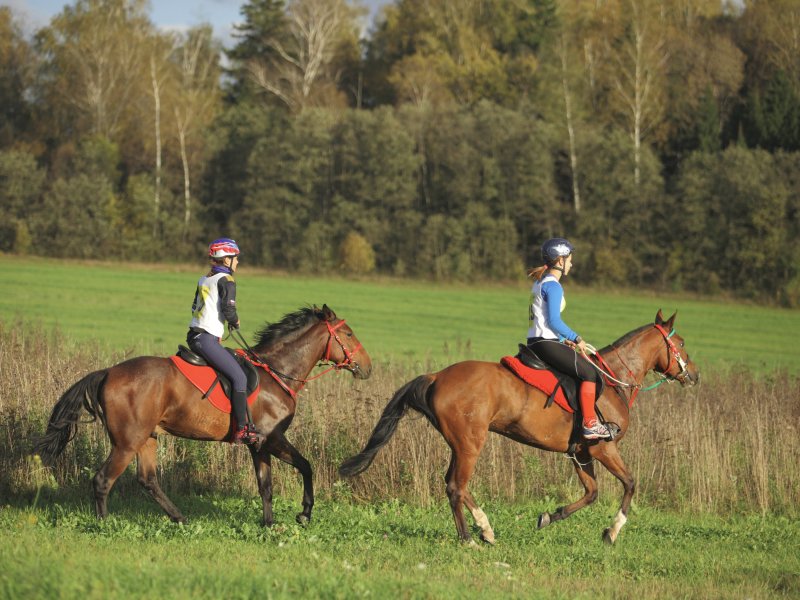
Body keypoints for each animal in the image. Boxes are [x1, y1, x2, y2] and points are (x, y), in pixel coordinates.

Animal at [36, 304, 374, 524]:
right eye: (348, 333)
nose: (368, 368)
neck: (277, 372)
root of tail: (107, 372)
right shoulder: (272, 438)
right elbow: (305, 467)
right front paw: (304, 513)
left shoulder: (259, 445)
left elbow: (266, 485)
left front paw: (269, 524)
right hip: (127, 442)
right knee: (103, 479)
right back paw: (105, 524)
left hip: (147, 438)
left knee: (148, 480)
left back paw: (179, 518)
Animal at [340, 312, 696, 548]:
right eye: (680, 342)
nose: (694, 375)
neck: (612, 380)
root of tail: (436, 376)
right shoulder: (603, 447)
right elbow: (630, 484)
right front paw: (612, 532)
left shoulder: (580, 453)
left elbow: (591, 493)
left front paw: (549, 517)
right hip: (471, 443)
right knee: (456, 486)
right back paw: (470, 538)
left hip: (461, 444)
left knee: (456, 485)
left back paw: (485, 529)